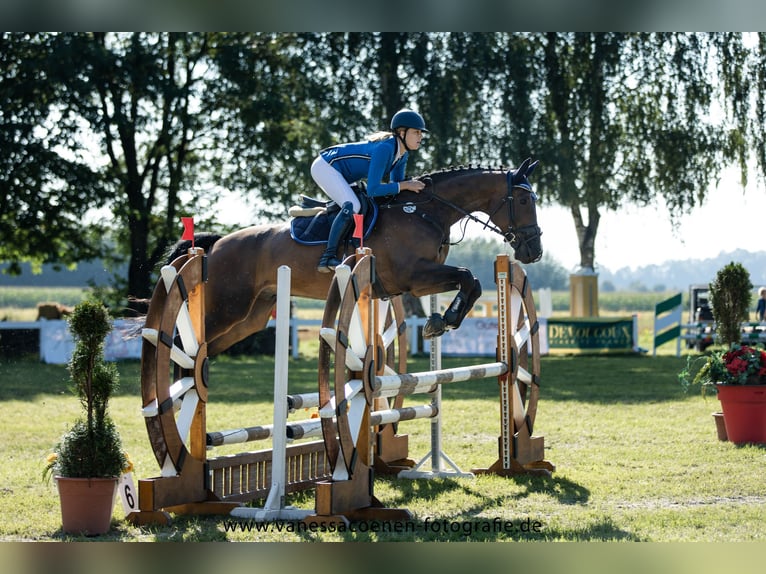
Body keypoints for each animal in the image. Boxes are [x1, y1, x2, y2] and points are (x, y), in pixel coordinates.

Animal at [171, 158, 544, 356]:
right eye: (525, 201)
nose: (535, 251)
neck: (425, 212)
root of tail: (217, 245)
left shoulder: (420, 281)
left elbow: (473, 282)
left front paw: (443, 320)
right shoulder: (414, 276)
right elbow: (467, 275)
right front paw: (443, 321)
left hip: (249, 317)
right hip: (227, 307)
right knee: (181, 342)